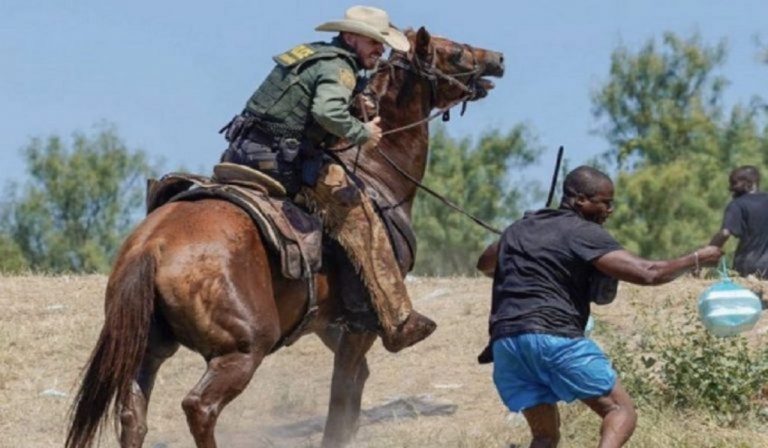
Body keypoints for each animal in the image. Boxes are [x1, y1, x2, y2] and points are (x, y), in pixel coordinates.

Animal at [66, 28, 504, 448]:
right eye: (455, 53)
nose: (497, 59)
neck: (376, 173)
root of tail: (152, 247)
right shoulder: (361, 324)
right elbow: (341, 395)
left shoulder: (329, 323)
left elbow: (354, 385)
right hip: (242, 349)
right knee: (199, 407)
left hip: (148, 348)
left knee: (132, 415)